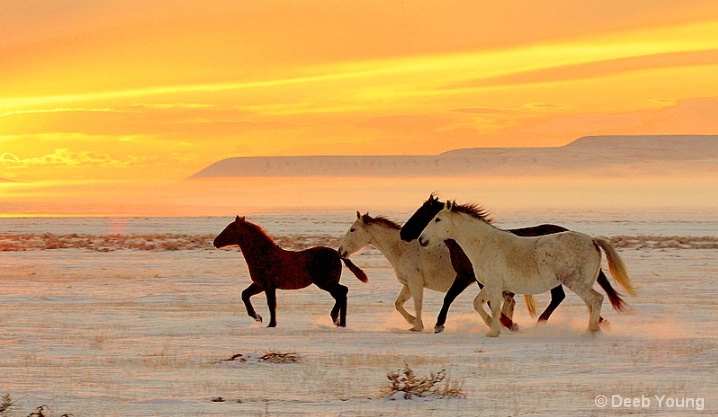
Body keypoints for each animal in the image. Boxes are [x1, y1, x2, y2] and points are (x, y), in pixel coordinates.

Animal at [212, 216, 372, 326]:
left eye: (229, 229)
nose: (215, 242)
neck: (263, 254)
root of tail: (337, 254)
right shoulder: (259, 284)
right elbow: (245, 295)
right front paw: (258, 317)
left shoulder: (268, 285)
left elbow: (271, 303)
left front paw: (271, 324)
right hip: (327, 283)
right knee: (341, 294)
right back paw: (339, 321)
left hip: (325, 282)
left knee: (342, 292)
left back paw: (338, 320)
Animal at [338, 211, 528, 332]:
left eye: (352, 230)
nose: (340, 251)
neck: (402, 249)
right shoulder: (408, 284)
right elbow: (399, 304)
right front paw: (413, 323)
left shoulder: (415, 282)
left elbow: (418, 303)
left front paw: (418, 325)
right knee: (508, 301)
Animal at [402, 193, 628, 334]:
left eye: (436, 218)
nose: (420, 239)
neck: (483, 244)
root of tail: (592, 240)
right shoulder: (489, 284)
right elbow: (480, 303)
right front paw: (498, 325)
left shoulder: (481, 282)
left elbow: (485, 305)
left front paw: (498, 328)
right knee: (589, 303)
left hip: (575, 282)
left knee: (594, 299)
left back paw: (590, 330)